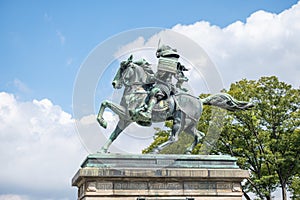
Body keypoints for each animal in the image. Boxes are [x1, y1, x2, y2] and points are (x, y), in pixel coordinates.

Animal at [96, 55, 253, 154]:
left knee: (174, 137)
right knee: (199, 135)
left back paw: (156, 150)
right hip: (189, 125)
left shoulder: (129, 114)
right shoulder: (126, 118)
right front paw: (102, 148)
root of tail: (199, 100)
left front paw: (103, 122)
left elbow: (106, 104)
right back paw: (188, 152)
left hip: (180, 121)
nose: (114, 83)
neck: (136, 89)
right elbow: (114, 133)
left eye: (123, 67)